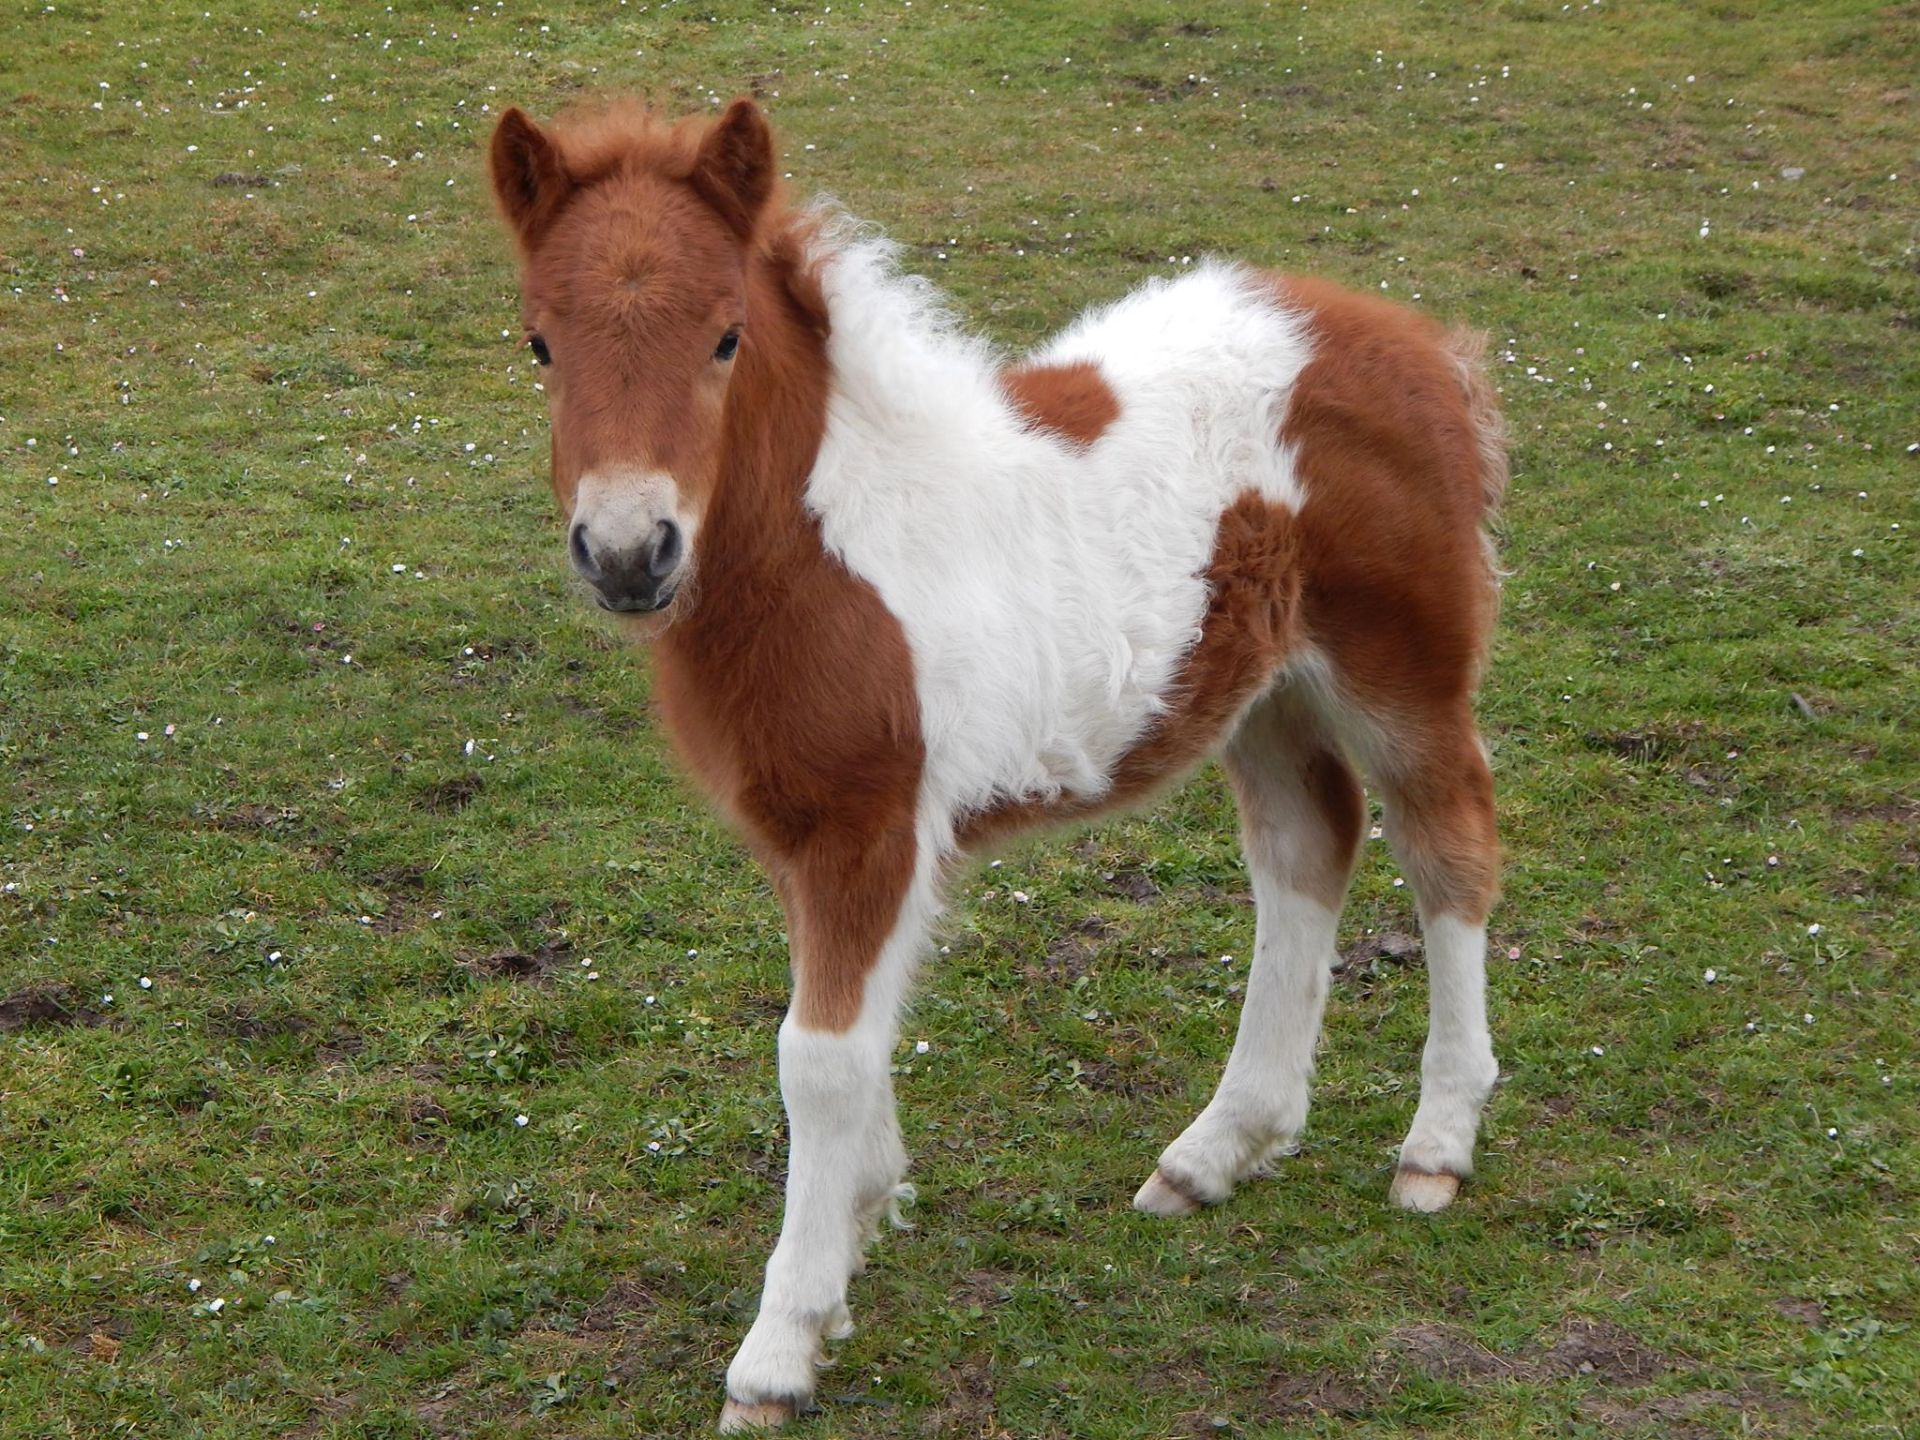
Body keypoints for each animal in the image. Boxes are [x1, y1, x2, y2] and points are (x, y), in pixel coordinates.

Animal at [487, 98, 1505, 1436]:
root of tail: (1422, 344)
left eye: (724, 337)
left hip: (1402, 675)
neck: (831, 549)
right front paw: (864, 1213)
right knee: (1310, 847)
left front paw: (783, 1342)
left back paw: (1434, 1148)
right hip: (1262, 691)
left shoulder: (869, 825)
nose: (625, 552)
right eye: (539, 344)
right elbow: (852, 1030)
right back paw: (1218, 1149)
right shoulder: (805, 835)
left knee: (1450, 854)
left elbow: (818, 1057)